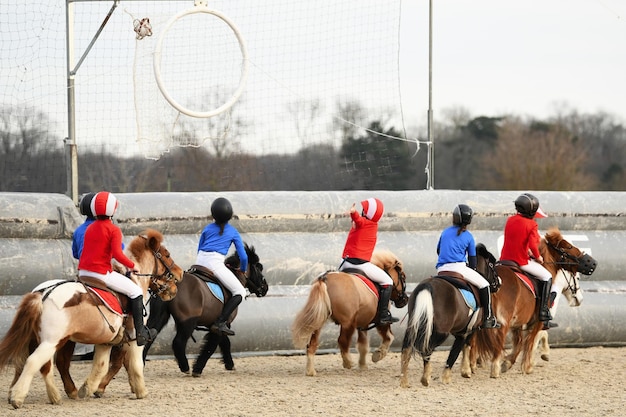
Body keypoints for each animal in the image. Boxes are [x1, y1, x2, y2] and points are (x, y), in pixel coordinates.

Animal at [0, 228, 183, 406]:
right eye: (167, 255)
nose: (180, 274)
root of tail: (42, 294)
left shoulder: (107, 341)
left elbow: (101, 365)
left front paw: (88, 388)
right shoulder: (134, 337)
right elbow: (136, 364)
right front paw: (141, 391)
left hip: (40, 340)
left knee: (31, 363)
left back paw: (47, 395)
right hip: (51, 341)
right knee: (35, 362)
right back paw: (20, 397)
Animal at [470, 228, 596, 376]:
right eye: (568, 247)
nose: (592, 263)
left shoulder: (519, 322)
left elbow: (520, 342)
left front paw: (510, 361)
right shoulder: (538, 321)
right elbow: (532, 340)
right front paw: (527, 364)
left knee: (474, 339)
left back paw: (471, 366)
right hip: (503, 321)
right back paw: (491, 368)